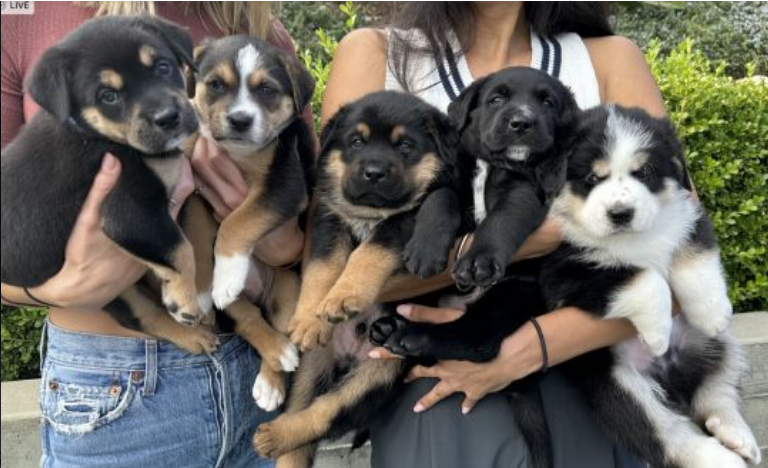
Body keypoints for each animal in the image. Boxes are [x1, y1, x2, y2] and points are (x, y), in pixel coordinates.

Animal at [183, 35, 316, 410]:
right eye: (215, 84)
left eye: (267, 90)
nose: (240, 120)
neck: (238, 155)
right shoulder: (197, 187)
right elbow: (198, 234)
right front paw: (202, 285)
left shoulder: (283, 186)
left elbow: (238, 221)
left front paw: (227, 273)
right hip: (237, 310)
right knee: (248, 320)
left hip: (289, 290)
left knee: (282, 331)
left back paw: (275, 375)